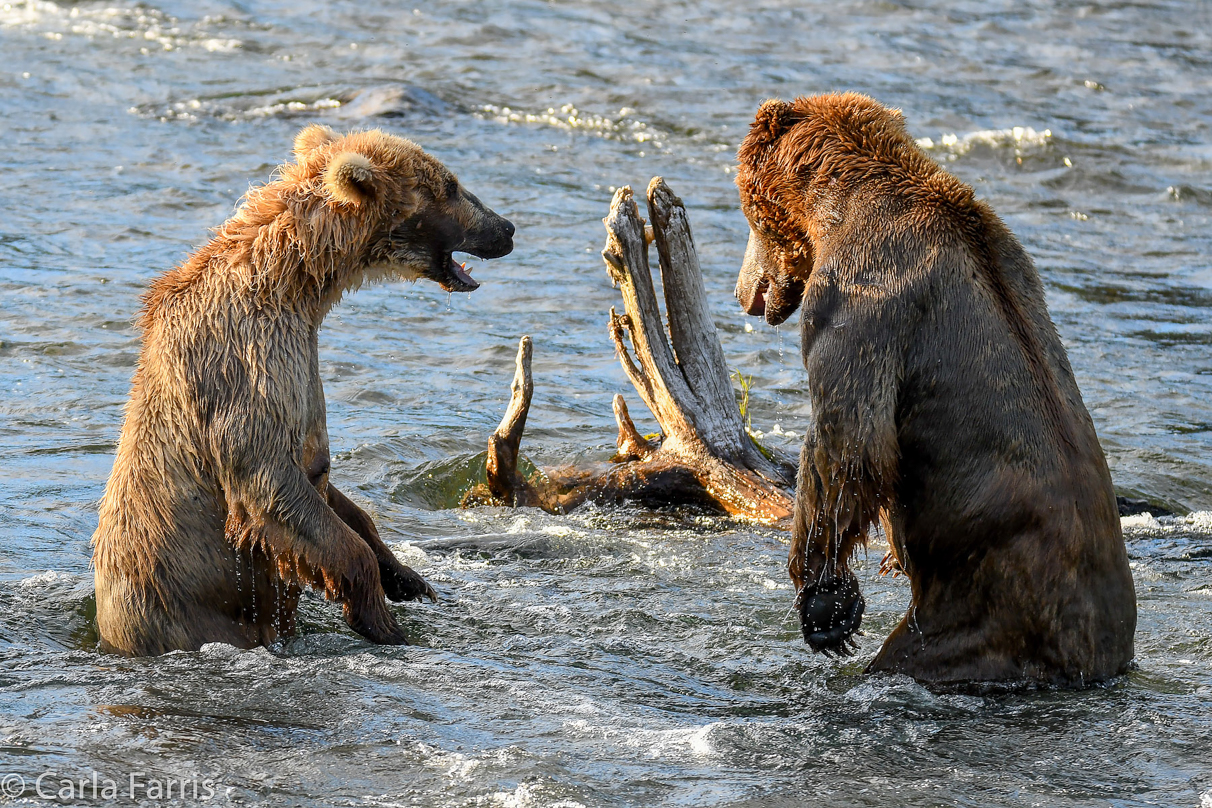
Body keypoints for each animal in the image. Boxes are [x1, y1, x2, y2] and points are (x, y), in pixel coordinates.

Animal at [89, 124, 513, 658]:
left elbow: (339, 498)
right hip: (181, 613)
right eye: (451, 185)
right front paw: (382, 620)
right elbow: (271, 480)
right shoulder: (248, 361)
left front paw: (409, 579)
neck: (296, 286)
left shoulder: (302, 367)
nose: (507, 228)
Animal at [732, 95, 1139, 688]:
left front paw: (826, 605)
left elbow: (848, 445)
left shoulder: (857, 300)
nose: (745, 293)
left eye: (750, 216)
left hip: (971, 618)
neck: (836, 207)